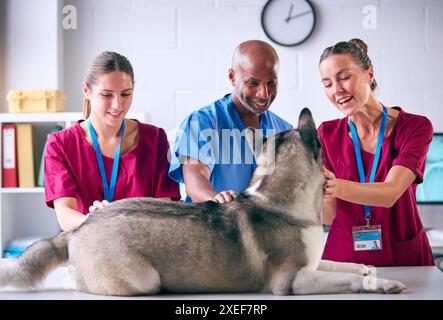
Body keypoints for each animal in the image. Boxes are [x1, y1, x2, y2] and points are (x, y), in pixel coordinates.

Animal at [0, 109, 406, 296]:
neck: (280, 198)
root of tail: (78, 230)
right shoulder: (291, 280)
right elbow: (343, 278)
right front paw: (382, 284)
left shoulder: (314, 262)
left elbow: (343, 264)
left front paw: (370, 270)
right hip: (143, 279)